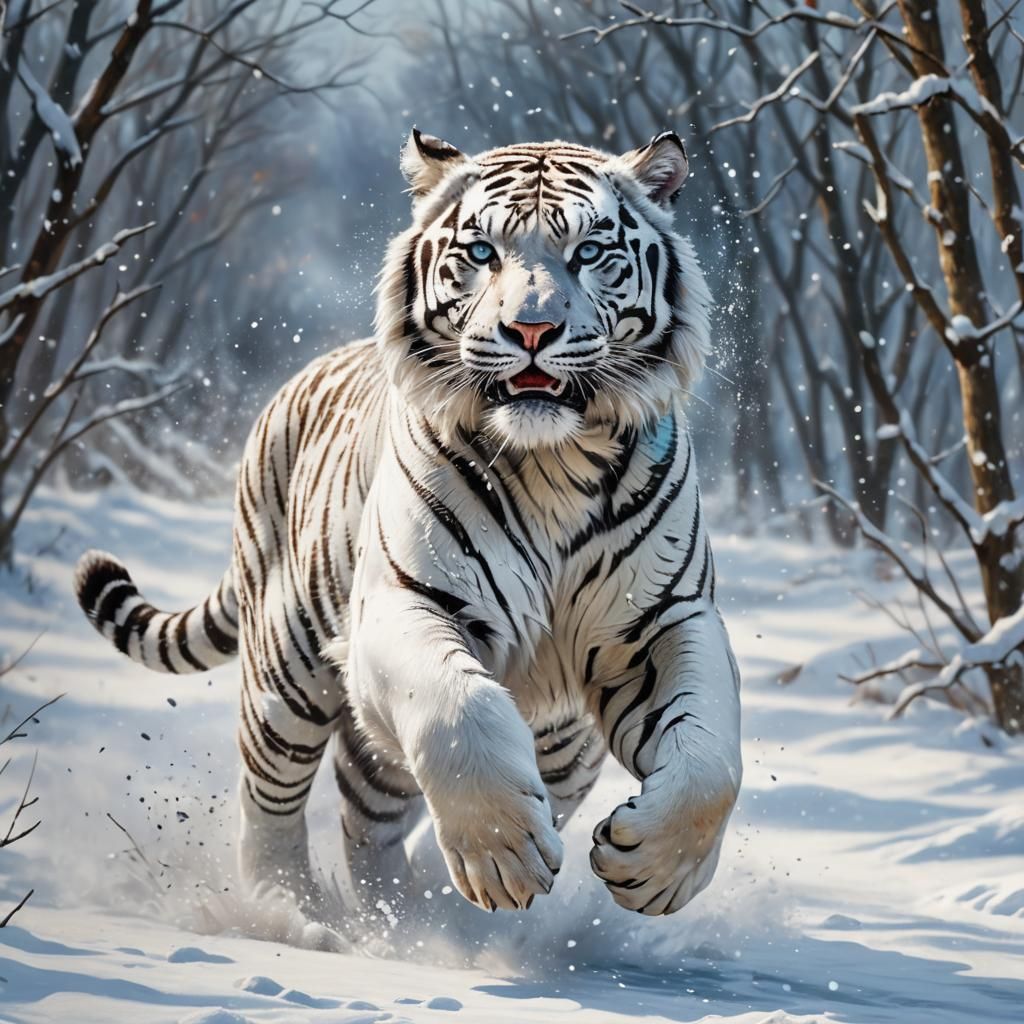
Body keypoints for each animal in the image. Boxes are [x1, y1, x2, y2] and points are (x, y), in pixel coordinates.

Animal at [75, 129, 742, 927]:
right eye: (483, 251)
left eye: (587, 251)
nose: (532, 329)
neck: (552, 461)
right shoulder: (403, 602)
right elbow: (460, 709)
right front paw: (504, 854)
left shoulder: (663, 621)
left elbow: (711, 757)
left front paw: (655, 870)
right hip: (286, 670)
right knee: (271, 799)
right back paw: (293, 913)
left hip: (552, 744)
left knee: (375, 814)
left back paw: (414, 915)